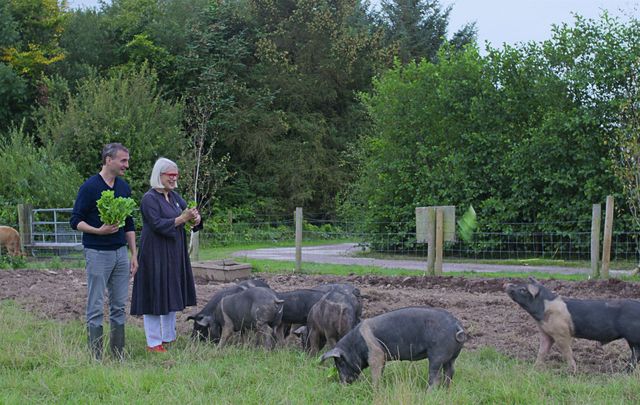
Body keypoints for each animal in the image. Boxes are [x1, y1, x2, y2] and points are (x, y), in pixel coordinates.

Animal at [320, 306, 464, 386]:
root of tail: (456, 325)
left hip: (437, 354)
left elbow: (376, 374)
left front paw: (375, 388)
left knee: (435, 376)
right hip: (452, 357)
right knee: (450, 372)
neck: (355, 345)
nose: (343, 384)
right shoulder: (382, 357)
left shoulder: (376, 354)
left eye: (340, 362)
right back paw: (446, 390)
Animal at [508, 276, 640, 370]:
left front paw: (573, 370)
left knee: (636, 355)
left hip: (633, 337)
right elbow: (542, 351)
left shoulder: (562, 332)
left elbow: (567, 351)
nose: (508, 285)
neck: (544, 309)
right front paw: (535, 368)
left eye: (523, 290)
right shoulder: (546, 332)